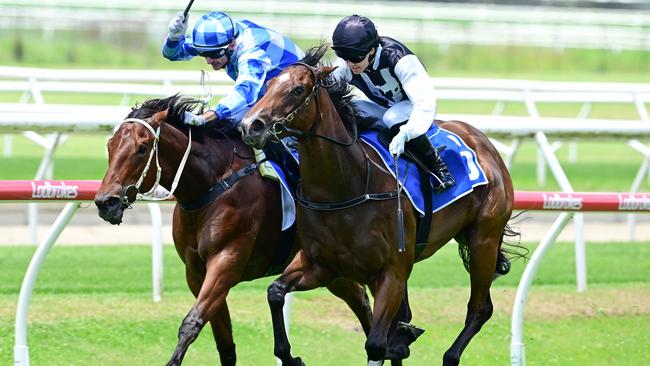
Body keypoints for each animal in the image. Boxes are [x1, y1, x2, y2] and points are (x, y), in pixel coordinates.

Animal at [92, 95, 374, 366]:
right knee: (359, 298)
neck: (212, 185)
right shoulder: (196, 273)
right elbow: (225, 344)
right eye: (110, 145)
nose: (106, 202)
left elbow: (191, 323)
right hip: (331, 268)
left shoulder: (225, 262)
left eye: (141, 148)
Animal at [240, 46, 520, 366]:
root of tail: (483, 142)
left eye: (297, 90)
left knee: (480, 308)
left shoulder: (392, 272)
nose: (250, 126)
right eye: (269, 86)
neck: (344, 190)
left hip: (484, 239)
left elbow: (375, 345)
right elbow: (275, 292)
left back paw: (450, 355)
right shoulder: (322, 266)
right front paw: (290, 356)